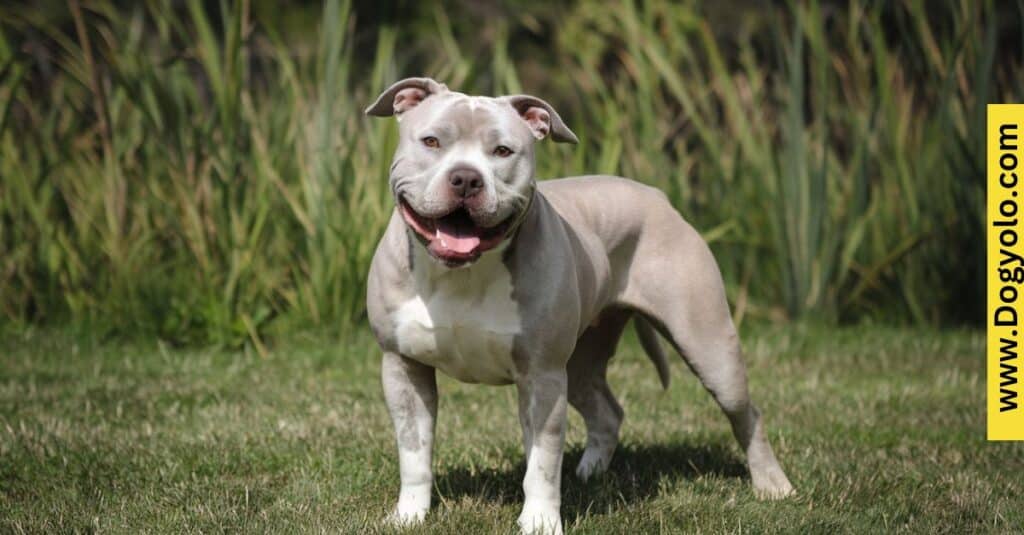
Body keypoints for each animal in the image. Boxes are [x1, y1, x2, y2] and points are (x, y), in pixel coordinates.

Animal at [364, 77, 794, 532]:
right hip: (583, 360)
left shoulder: (542, 377)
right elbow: (414, 452)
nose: (465, 178)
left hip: (709, 347)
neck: (463, 271)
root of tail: (658, 196)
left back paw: (773, 486)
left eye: (502, 151)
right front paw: (408, 515)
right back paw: (590, 473)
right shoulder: (403, 366)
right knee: (607, 412)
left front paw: (540, 520)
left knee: (746, 414)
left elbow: (541, 462)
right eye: (431, 141)